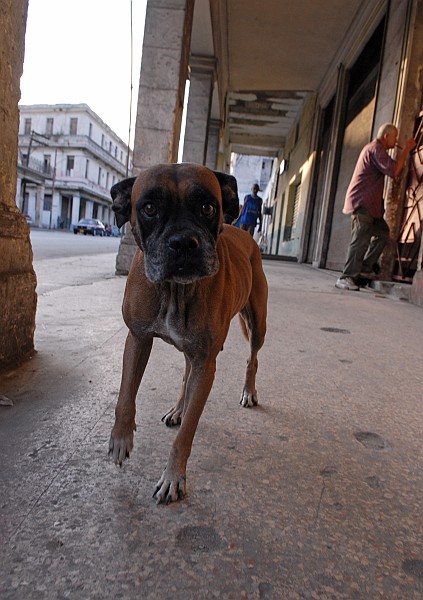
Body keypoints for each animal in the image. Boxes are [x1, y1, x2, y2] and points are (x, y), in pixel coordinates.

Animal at [109, 163, 268, 502]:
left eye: (208, 207)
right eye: (149, 208)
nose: (183, 242)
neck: (174, 291)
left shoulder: (206, 365)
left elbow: (186, 434)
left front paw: (173, 476)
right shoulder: (137, 339)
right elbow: (126, 395)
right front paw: (120, 438)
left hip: (258, 324)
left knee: (253, 358)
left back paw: (248, 391)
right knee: (185, 374)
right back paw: (178, 408)